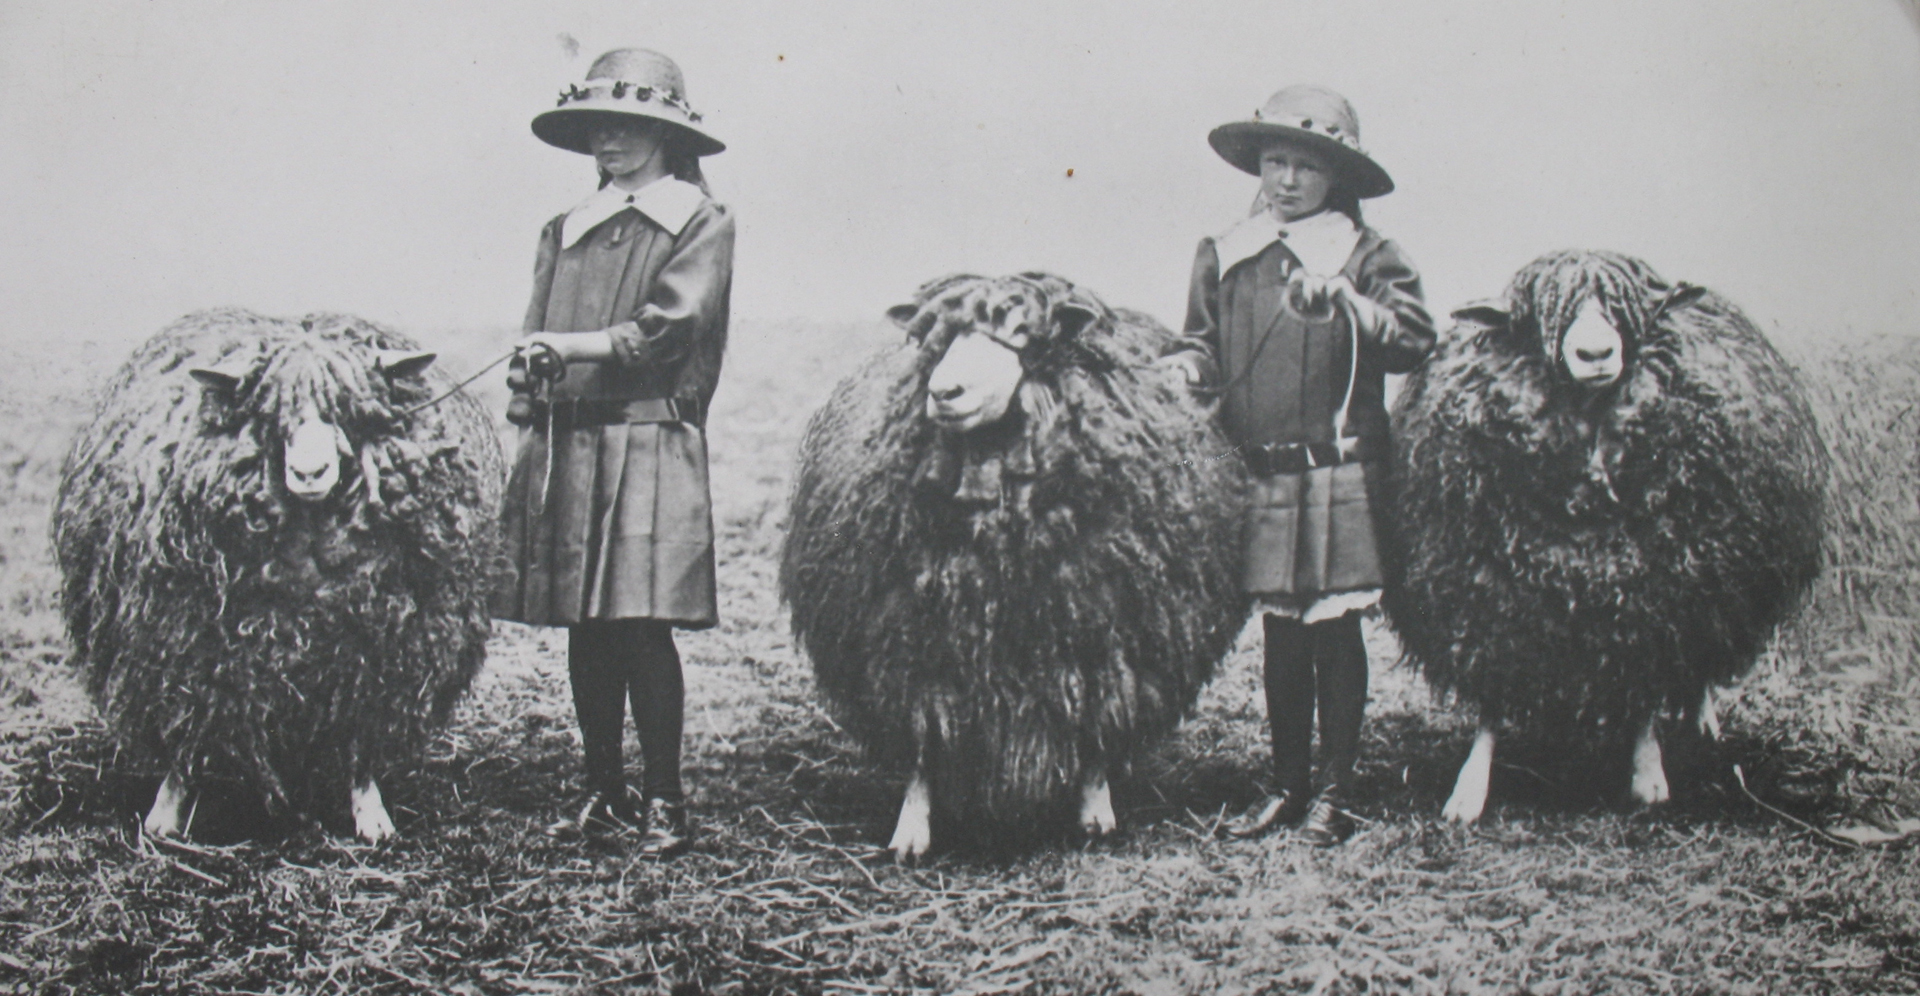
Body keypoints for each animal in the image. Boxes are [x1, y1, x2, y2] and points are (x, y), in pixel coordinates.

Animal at [53, 308, 506, 840]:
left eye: (348, 414)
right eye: (272, 418)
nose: (310, 473)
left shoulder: (373, 659)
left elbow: (358, 738)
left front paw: (369, 810)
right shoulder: (190, 648)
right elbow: (190, 729)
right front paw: (167, 810)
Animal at [779, 270, 1244, 855]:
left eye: (1023, 336)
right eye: (935, 335)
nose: (943, 392)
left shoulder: (1102, 637)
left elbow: (1096, 722)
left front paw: (1095, 807)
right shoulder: (911, 644)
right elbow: (924, 733)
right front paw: (913, 824)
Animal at [1390, 251, 1820, 825]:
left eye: (1627, 309)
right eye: (1538, 317)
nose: (1595, 353)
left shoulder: (1651, 599)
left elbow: (1645, 691)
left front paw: (1648, 773)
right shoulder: (1491, 602)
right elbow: (1492, 703)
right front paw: (1470, 787)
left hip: (1709, 586)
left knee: (1700, 657)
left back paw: (1702, 719)